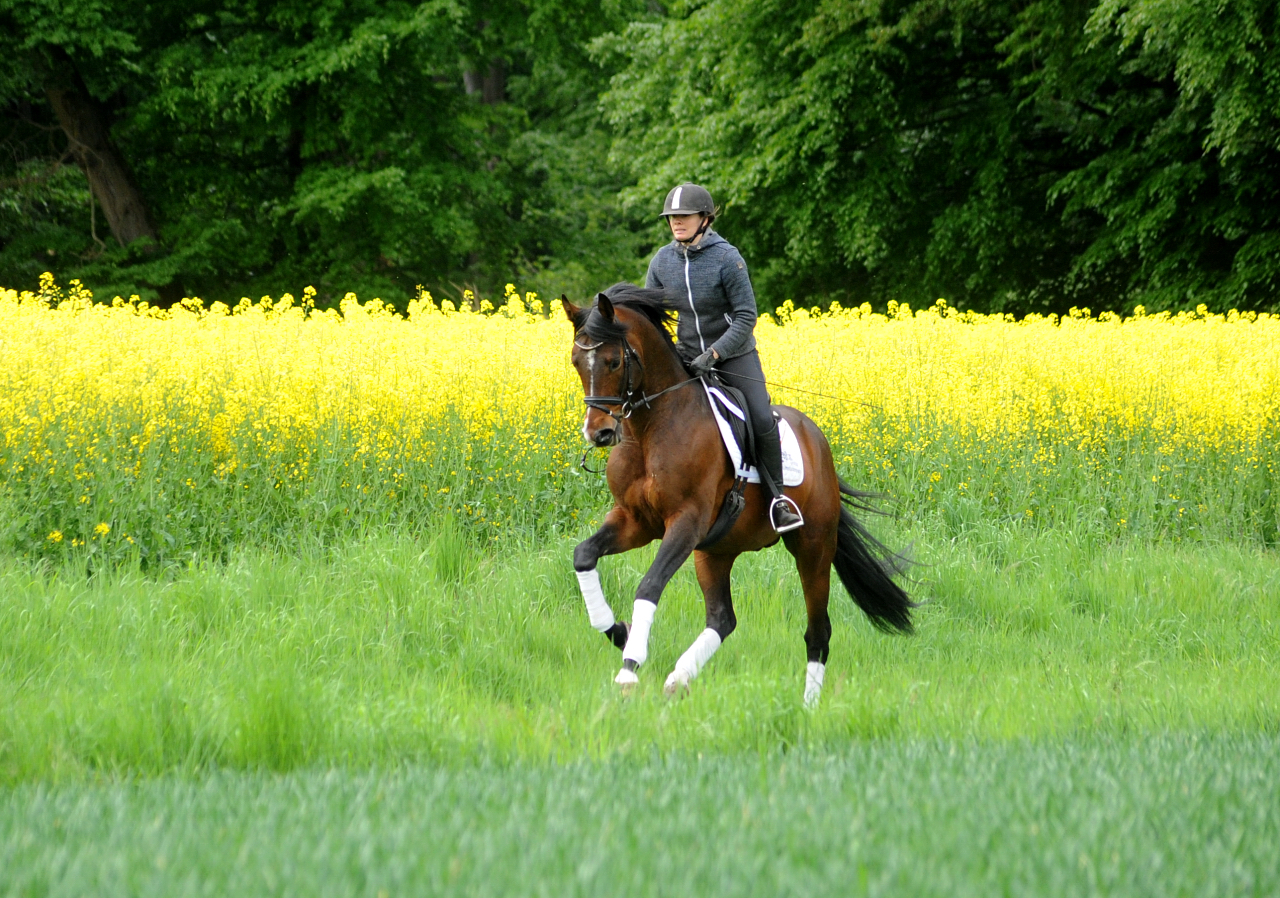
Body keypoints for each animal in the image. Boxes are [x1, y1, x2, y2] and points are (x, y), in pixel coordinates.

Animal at [565, 285, 916, 706]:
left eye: (614, 361)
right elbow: (584, 555)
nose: (598, 433)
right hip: (715, 551)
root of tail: (818, 440)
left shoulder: (686, 521)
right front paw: (618, 630)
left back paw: (807, 708)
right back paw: (679, 677)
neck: (651, 429)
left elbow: (649, 585)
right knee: (723, 618)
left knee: (818, 631)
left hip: (813, 547)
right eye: (576, 363)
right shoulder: (635, 521)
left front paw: (629, 669)